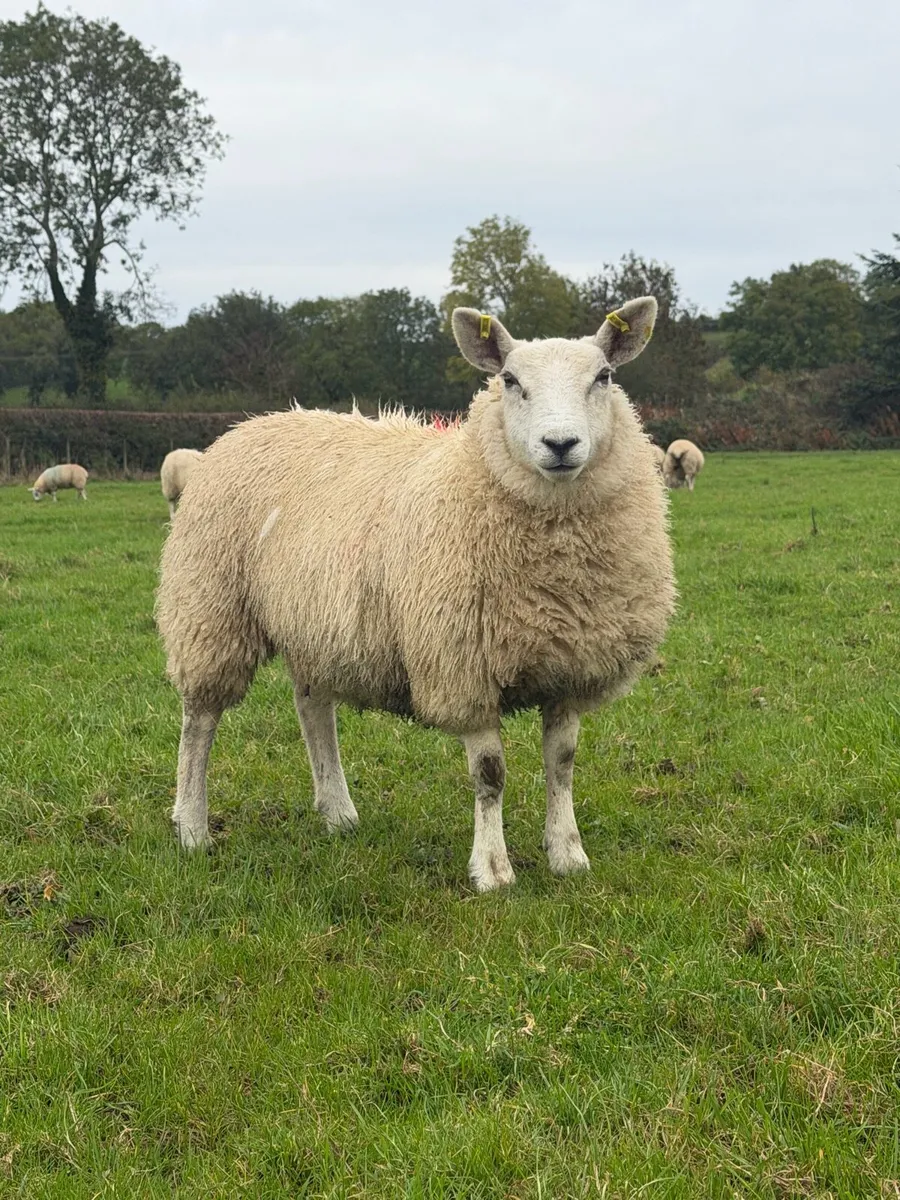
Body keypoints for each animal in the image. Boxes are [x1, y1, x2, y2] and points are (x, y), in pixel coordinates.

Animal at [156, 297, 676, 891]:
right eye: (510, 380)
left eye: (604, 377)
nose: (561, 445)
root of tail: (252, 423)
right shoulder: (462, 667)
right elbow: (490, 775)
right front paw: (493, 870)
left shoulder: (571, 667)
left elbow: (562, 762)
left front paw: (568, 854)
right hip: (211, 609)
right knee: (199, 723)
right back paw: (192, 826)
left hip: (313, 622)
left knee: (313, 708)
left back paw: (338, 812)